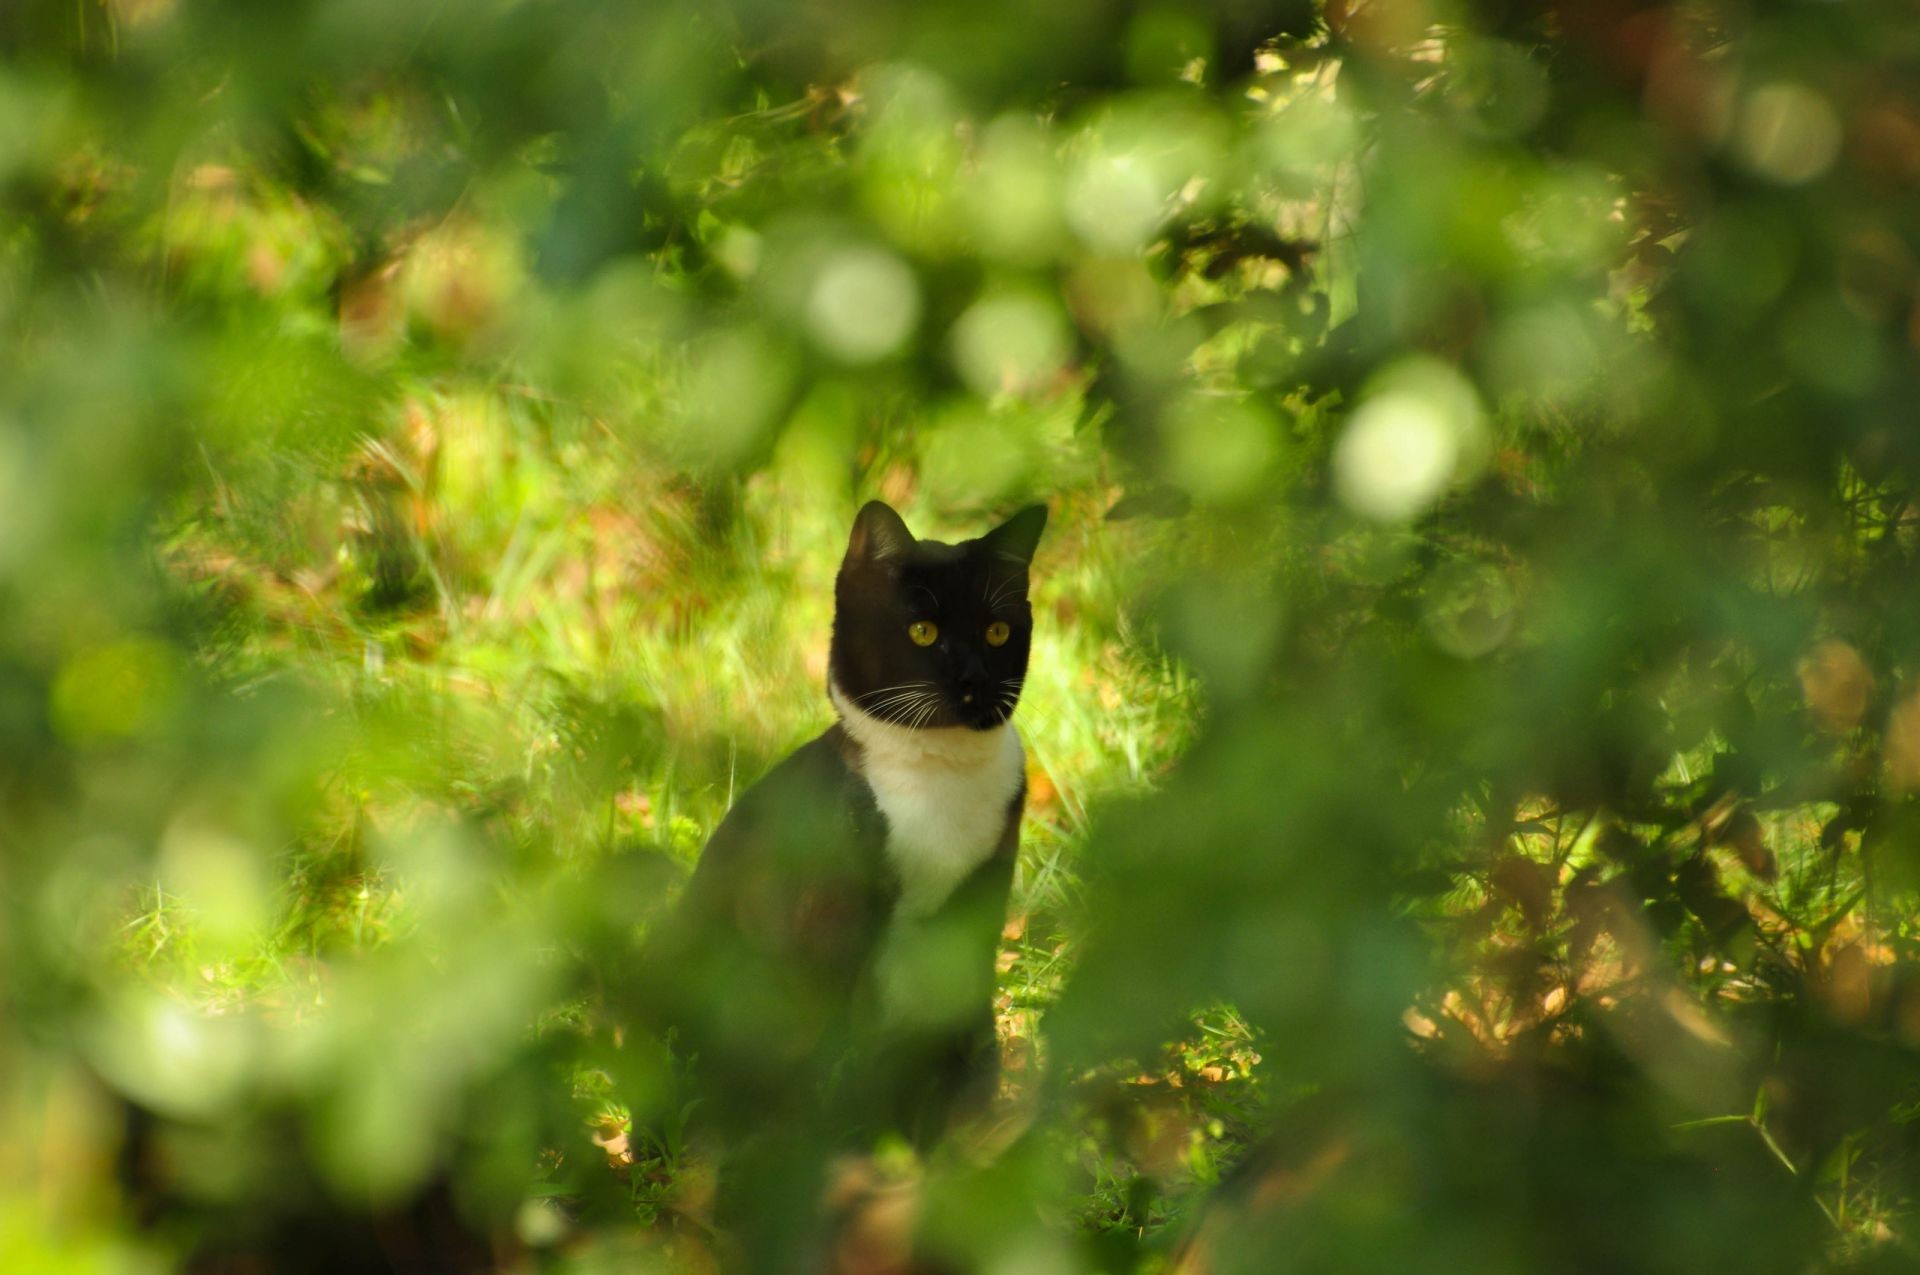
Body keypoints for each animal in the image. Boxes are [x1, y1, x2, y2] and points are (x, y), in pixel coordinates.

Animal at [637, 499, 1044, 1251]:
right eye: (922, 630)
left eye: (998, 631)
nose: (973, 679)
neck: (938, 780)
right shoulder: (827, 929)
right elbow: (830, 1070)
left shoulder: (977, 917)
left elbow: (964, 1073)